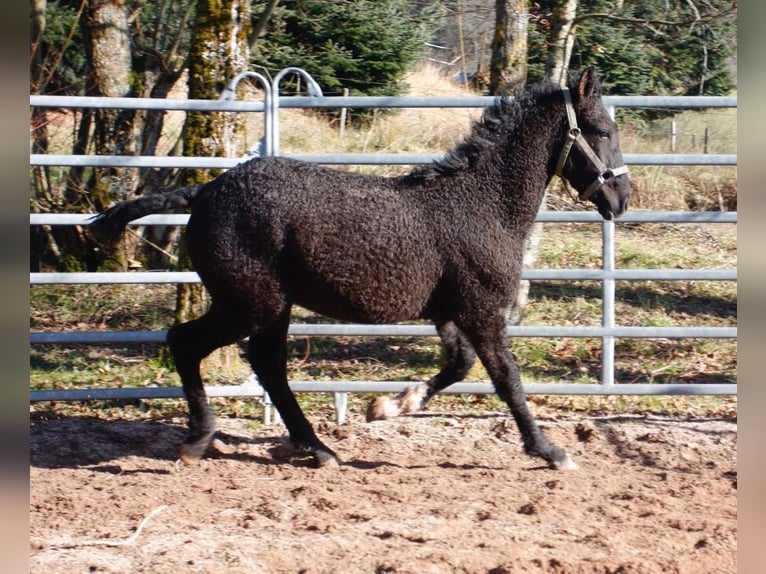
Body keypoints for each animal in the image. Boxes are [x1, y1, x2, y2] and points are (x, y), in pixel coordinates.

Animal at [91, 67, 632, 472]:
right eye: (604, 131)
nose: (621, 199)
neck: (481, 204)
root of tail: (202, 192)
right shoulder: (481, 310)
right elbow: (507, 380)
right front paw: (550, 451)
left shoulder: (449, 311)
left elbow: (459, 365)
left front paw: (390, 405)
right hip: (251, 302)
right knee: (187, 342)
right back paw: (200, 440)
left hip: (270, 306)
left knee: (267, 365)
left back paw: (318, 449)